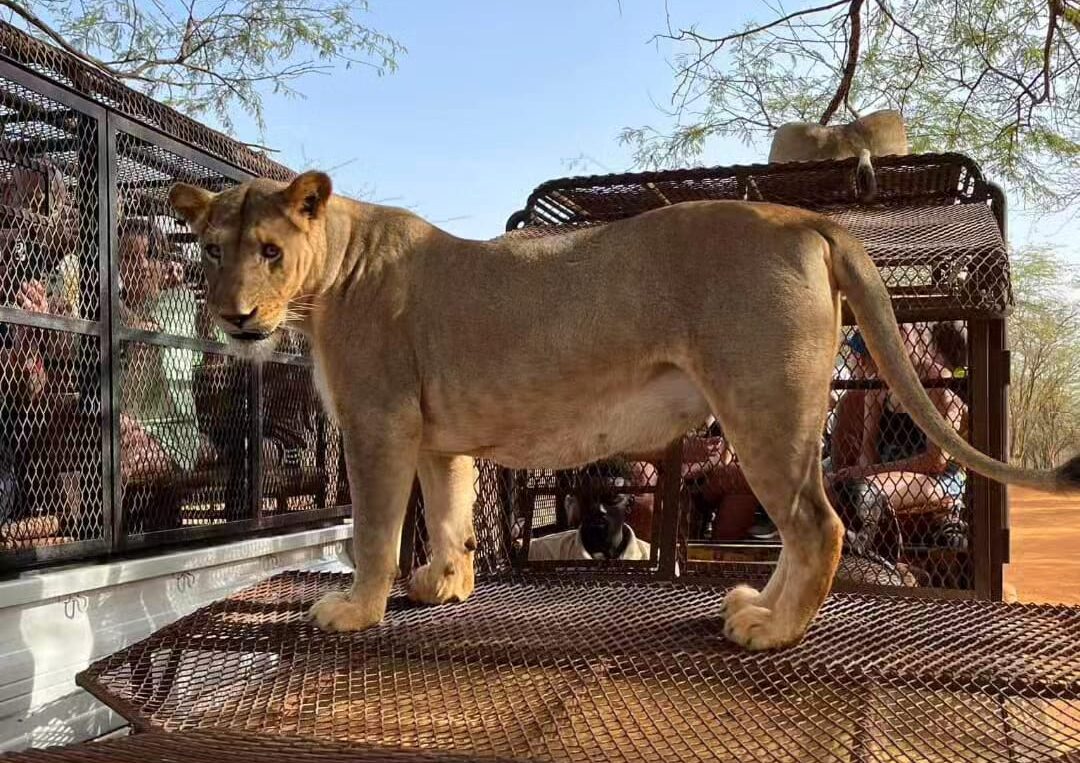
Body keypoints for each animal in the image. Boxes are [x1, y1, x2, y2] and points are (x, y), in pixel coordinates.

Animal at [168, 171, 1079, 651]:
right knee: (798, 528)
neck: (327, 274)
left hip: (760, 402)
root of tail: (807, 218)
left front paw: (355, 610)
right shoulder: (435, 435)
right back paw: (752, 605)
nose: (235, 317)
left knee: (818, 524)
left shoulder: (377, 420)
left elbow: (374, 529)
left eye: (270, 251)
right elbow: (451, 512)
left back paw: (772, 630)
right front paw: (444, 585)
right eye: (211, 250)